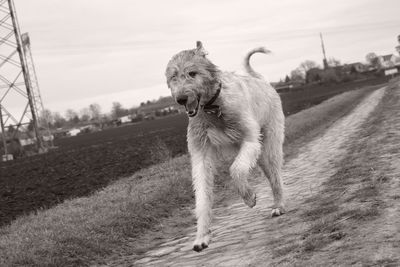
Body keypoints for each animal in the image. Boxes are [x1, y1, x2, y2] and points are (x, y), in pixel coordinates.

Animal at [165, 42, 284, 253]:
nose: (181, 99)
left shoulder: (250, 140)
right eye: (173, 76)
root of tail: (262, 81)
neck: (212, 108)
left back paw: (279, 205)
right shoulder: (200, 154)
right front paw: (201, 236)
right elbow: (202, 194)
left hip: (269, 143)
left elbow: (236, 170)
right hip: (259, 155)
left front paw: (249, 197)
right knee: (270, 174)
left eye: (192, 73)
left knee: (275, 175)